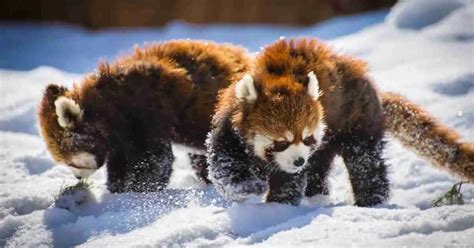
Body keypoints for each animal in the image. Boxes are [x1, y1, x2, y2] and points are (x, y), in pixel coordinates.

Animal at [38, 39, 252, 193]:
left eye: (71, 162)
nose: (77, 178)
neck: (110, 101)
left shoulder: (147, 111)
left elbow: (155, 158)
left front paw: (139, 188)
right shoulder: (120, 137)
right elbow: (119, 160)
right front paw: (117, 186)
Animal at [207, 38, 474, 205]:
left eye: (306, 138)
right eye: (282, 141)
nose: (299, 160)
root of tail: (373, 88)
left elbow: (289, 181)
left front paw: (277, 207)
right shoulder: (228, 128)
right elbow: (223, 167)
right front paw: (247, 188)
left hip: (358, 121)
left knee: (364, 163)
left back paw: (370, 202)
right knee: (319, 169)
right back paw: (317, 196)